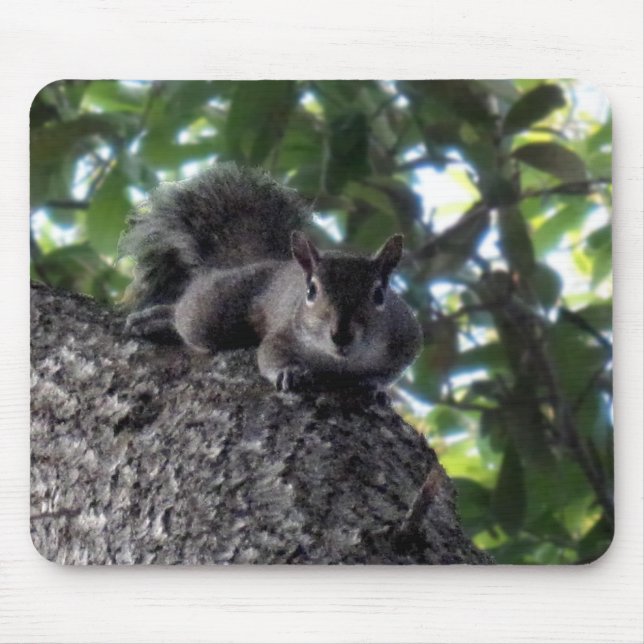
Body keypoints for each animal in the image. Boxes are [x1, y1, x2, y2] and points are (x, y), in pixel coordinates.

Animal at [121, 163, 423, 394]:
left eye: (379, 295)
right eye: (311, 291)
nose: (341, 335)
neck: (340, 361)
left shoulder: (406, 339)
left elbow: (392, 371)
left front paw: (375, 385)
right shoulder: (284, 334)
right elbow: (268, 355)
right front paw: (287, 372)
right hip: (215, 306)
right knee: (186, 316)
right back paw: (156, 320)